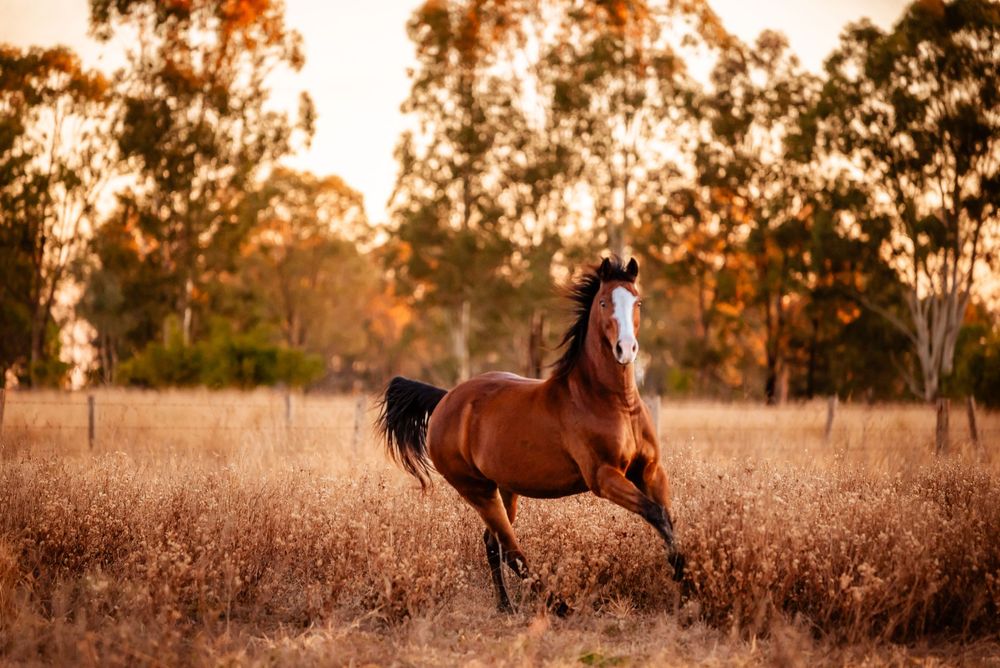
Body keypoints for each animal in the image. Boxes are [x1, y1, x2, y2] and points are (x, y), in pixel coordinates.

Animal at [375, 256, 684, 613]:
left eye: (637, 302)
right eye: (604, 302)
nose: (626, 349)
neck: (612, 402)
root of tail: (446, 398)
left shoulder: (650, 471)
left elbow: (666, 519)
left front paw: (687, 587)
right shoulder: (604, 477)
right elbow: (656, 513)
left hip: (505, 488)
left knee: (492, 543)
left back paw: (506, 606)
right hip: (477, 490)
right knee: (512, 551)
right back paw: (559, 606)